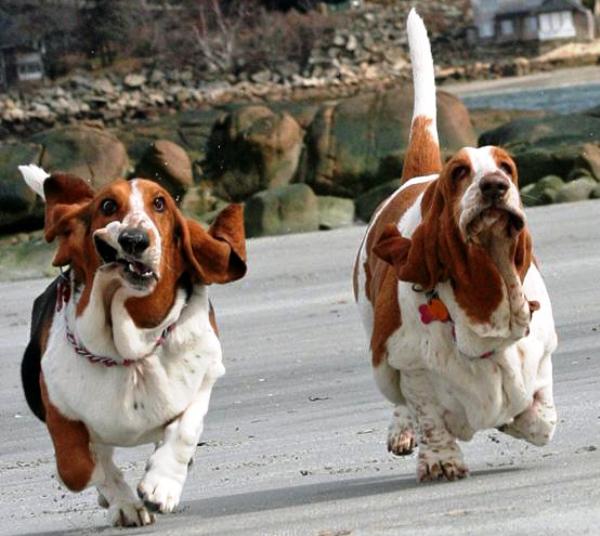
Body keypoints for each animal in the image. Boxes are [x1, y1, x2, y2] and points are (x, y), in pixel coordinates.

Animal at [17, 165, 246, 524]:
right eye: (108, 205)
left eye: (160, 203)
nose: (134, 239)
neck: (129, 352)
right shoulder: (58, 406)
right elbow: (80, 467)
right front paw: (123, 499)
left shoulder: (206, 377)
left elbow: (185, 431)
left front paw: (161, 487)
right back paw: (124, 505)